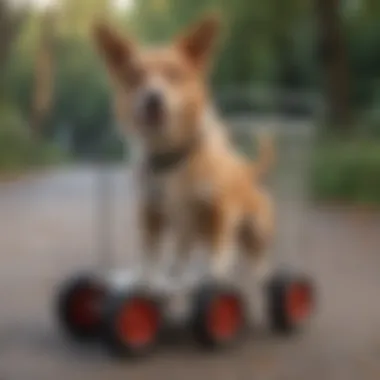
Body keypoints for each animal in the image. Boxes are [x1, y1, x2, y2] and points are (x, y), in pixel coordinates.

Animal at [93, 12, 274, 288]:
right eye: (134, 77)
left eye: (174, 74)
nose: (153, 98)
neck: (173, 156)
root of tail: (247, 172)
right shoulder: (151, 212)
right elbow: (149, 257)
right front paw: (147, 282)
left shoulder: (216, 213)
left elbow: (216, 259)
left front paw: (212, 282)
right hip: (187, 232)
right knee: (182, 256)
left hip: (254, 230)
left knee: (254, 258)